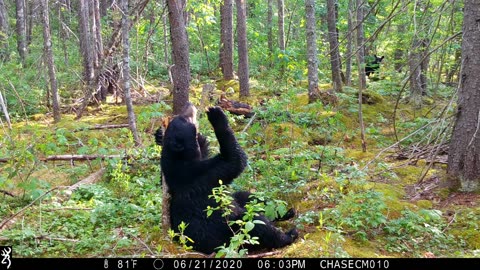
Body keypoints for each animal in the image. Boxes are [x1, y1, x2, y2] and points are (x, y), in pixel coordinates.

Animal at [158, 102, 298, 254]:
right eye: (184, 119)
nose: (189, 105)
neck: (179, 159)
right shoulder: (201, 174)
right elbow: (234, 160)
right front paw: (216, 115)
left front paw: (159, 135)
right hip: (233, 233)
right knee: (256, 224)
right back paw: (289, 235)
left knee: (248, 197)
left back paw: (286, 212)